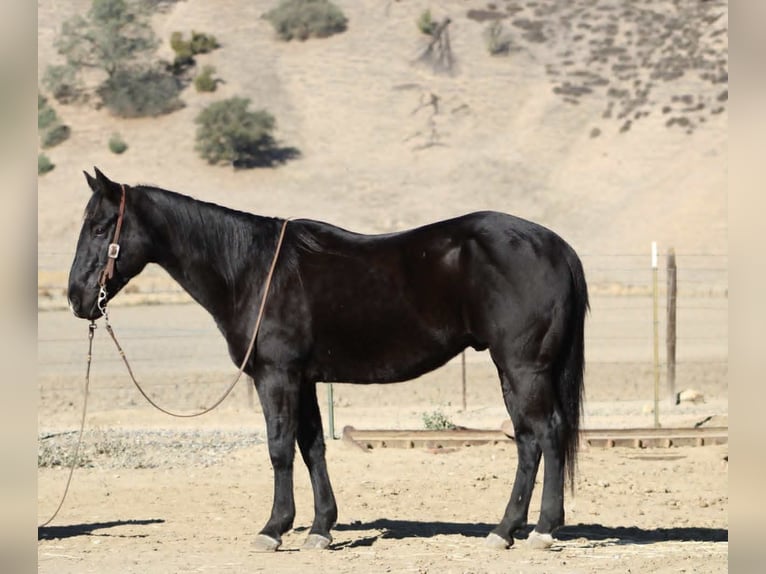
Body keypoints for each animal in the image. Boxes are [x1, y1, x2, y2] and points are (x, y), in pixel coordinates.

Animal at [67, 168, 588, 552]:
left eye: (100, 227)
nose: (76, 297)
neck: (253, 269)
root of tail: (557, 246)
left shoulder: (276, 376)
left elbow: (279, 448)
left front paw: (273, 529)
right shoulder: (305, 380)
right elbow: (312, 446)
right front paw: (320, 528)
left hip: (522, 368)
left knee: (544, 433)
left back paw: (539, 530)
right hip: (515, 370)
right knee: (529, 440)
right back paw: (507, 530)